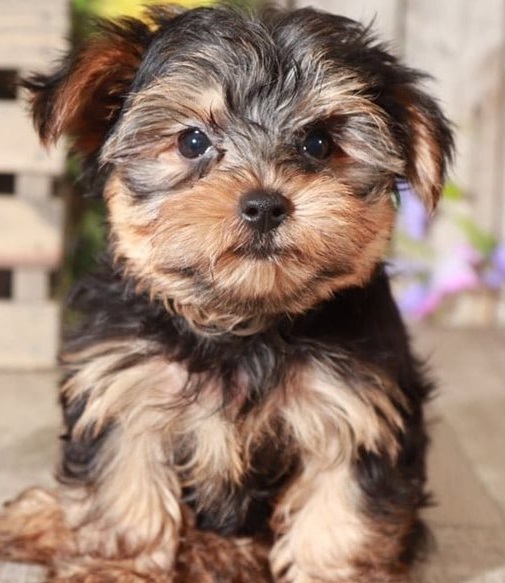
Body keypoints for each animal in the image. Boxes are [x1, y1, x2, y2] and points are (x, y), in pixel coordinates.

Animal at [0, 5, 452, 583]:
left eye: (319, 144)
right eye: (192, 142)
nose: (264, 204)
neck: (239, 325)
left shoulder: (353, 409)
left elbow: (339, 515)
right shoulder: (126, 388)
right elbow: (124, 488)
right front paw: (117, 566)